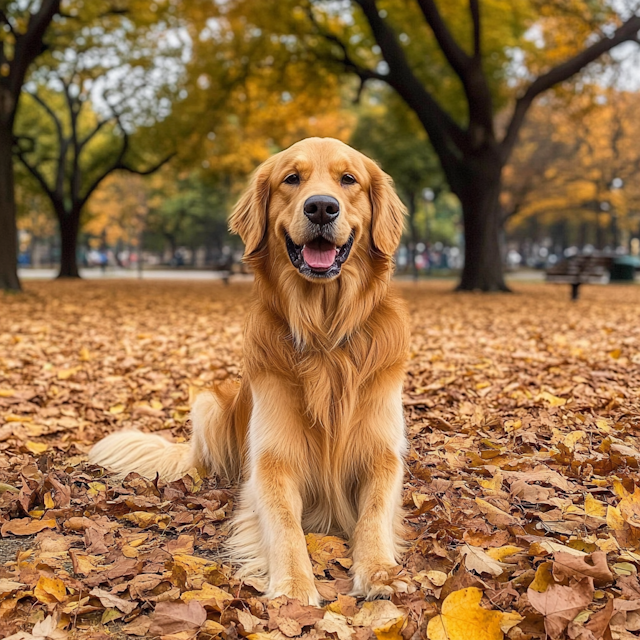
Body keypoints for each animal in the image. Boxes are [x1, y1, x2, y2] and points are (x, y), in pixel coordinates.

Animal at [89, 139, 410, 604]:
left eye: (349, 179)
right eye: (291, 178)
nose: (321, 207)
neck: (324, 336)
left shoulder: (383, 453)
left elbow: (375, 511)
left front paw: (381, 571)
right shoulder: (271, 462)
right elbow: (283, 522)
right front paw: (294, 585)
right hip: (208, 405)